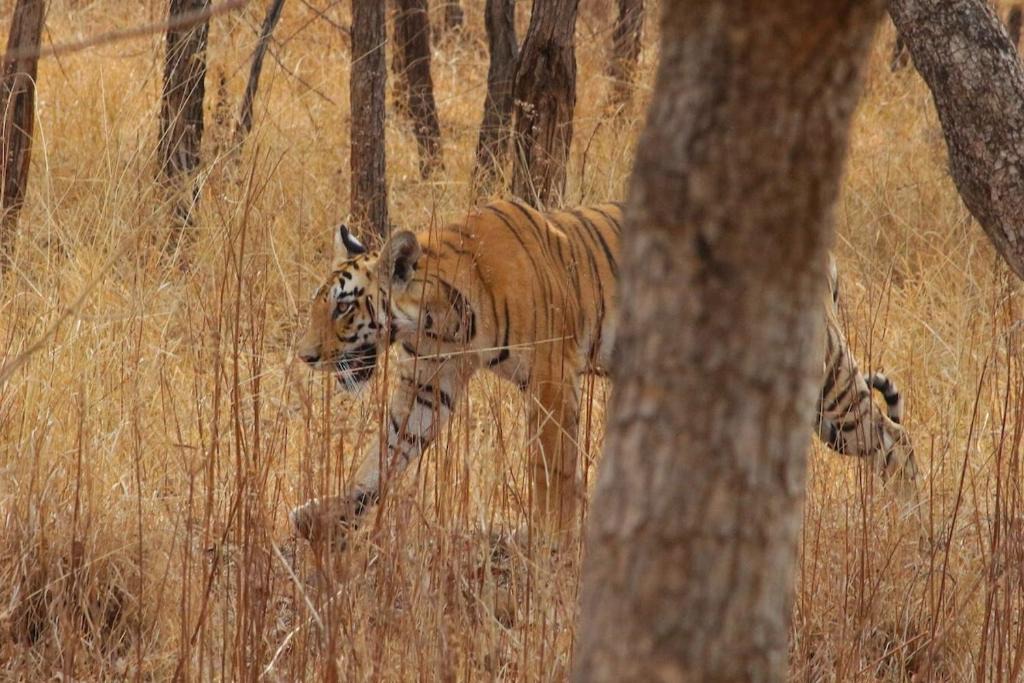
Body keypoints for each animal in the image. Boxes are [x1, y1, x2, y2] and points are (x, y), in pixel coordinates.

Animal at [291, 198, 917, 544]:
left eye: (343, 307)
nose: (306, 356)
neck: (438, 322)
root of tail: (826, 257)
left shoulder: (550, 378)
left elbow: (552, 466)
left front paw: (552, 536)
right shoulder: (429, 384)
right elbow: (384, 456)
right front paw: (326, 516)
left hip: (825, 388)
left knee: (892, 436)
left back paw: (910, 525)